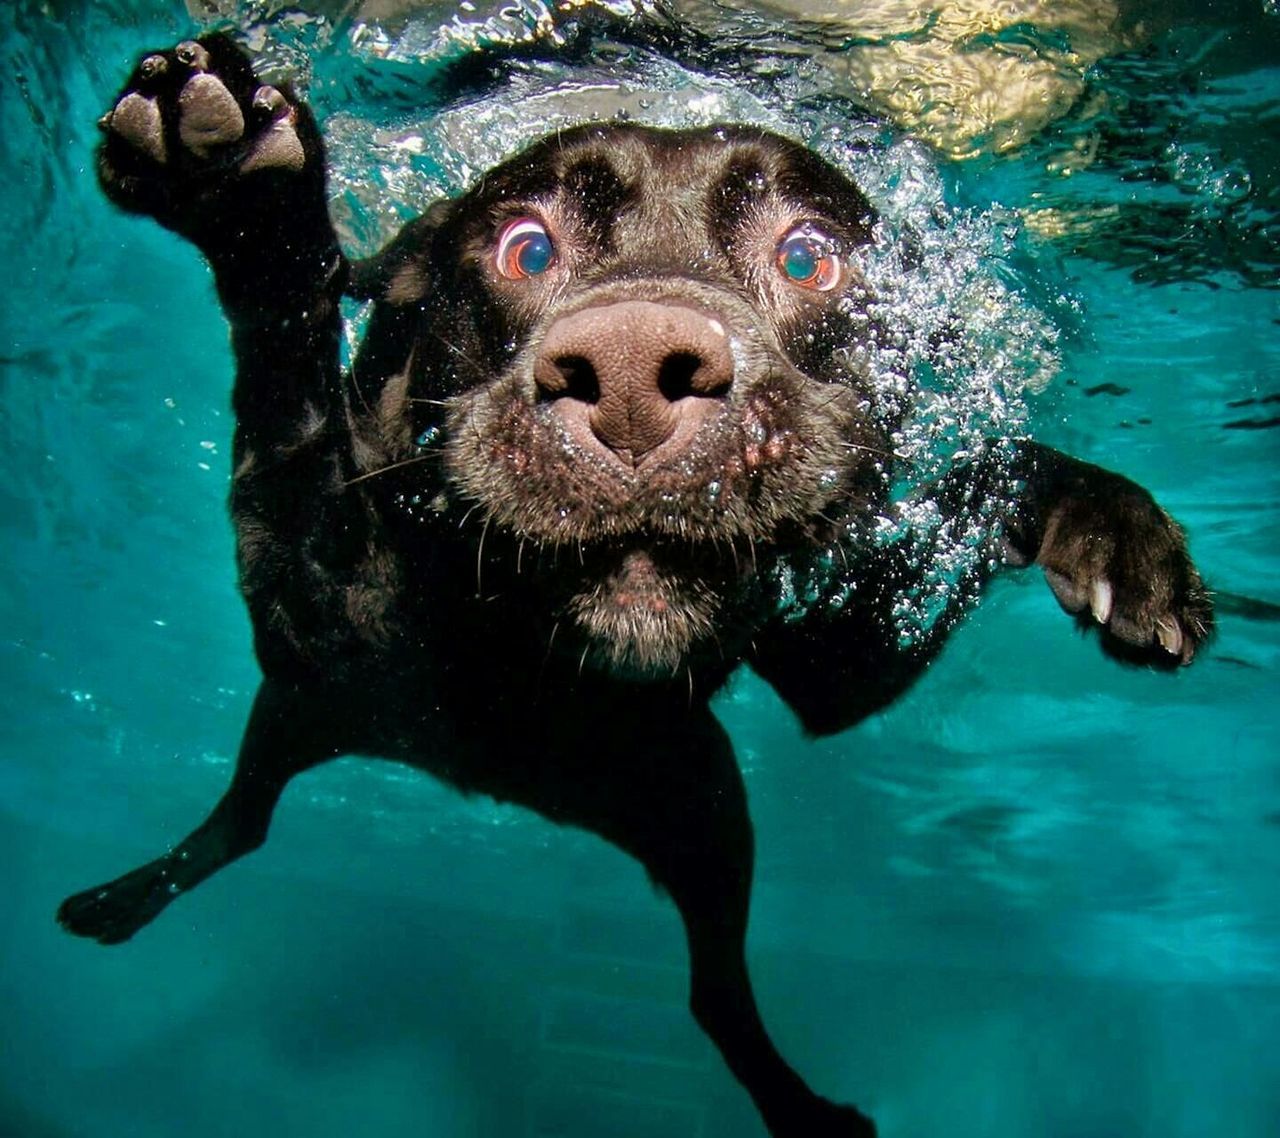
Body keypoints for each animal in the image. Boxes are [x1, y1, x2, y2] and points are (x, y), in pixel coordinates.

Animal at [60, 35, 1213, 1136]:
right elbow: (287, 398)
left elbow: (992, 471)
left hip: (703, 810)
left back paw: (799, 1107)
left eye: (807, 256)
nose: (626, 373)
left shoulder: (838, 661)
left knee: (712, 993)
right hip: (308, 713)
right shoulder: (312, 607)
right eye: (524, 247)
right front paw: (240, 187)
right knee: (245, 821)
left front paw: (1115, 534)